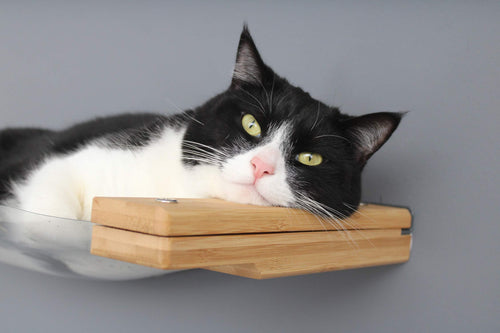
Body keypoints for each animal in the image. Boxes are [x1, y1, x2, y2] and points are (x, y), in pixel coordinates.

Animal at [0, 27, 402, 278]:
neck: (182, 192)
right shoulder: (75, 163)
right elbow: (52, 215)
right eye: (251, 124)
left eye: (310, 158)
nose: (261, 166)